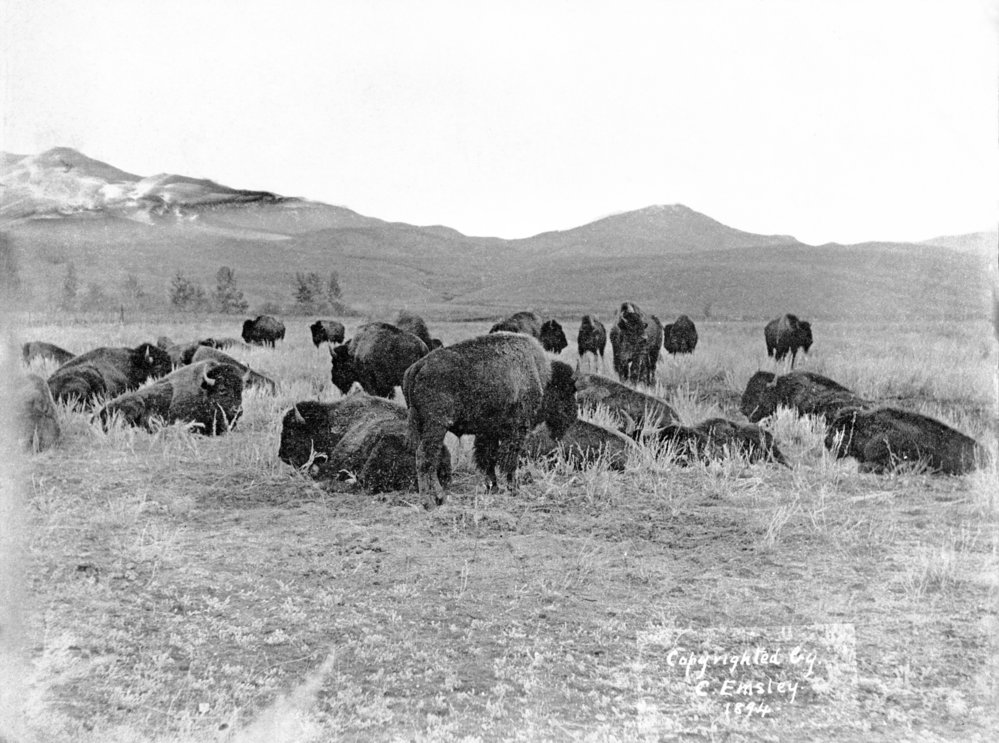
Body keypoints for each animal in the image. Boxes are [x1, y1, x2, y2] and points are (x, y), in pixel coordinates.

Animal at [98, 360, 244, 435]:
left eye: (241, 390)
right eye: (222, 389)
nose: (238, 411)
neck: (204, 390)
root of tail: (100, 412)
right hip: (136, 404)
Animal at [403, 332, 578, 506]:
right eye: (564, 392)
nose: (573, 416)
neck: (536, 372)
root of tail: (418, 366)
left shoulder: (489, 432)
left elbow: (489, 458)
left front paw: (493, 488)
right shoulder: (517, 429)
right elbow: (510, 459)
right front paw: (513, 489)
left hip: (423, 425)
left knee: (428, 457)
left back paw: (436, 497)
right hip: (437, 426)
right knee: (425, 457)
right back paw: (430, 500)